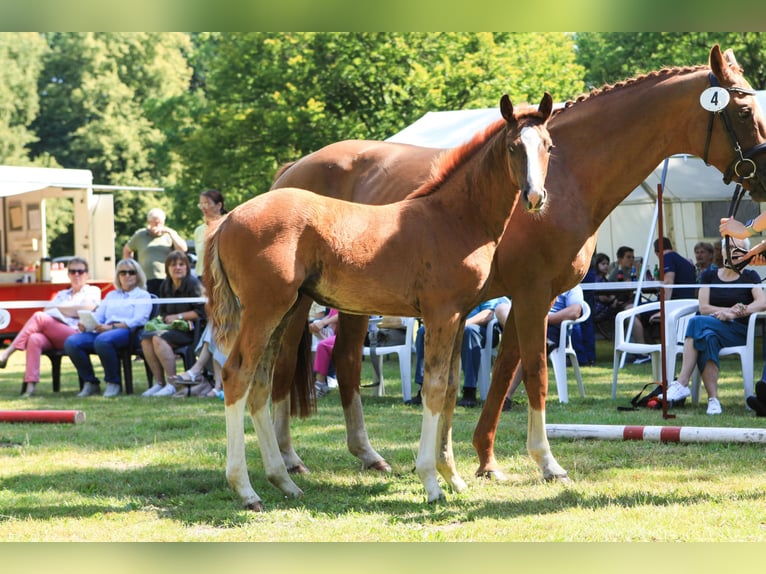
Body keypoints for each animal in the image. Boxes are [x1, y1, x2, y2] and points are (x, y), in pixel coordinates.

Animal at [207, 95, 556, 512]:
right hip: (264, 309)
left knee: (260, 383)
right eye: (513, 147)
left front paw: (453, 478)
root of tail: (227, 221)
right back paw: (246, 489)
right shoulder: (441, 314)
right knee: (236, 375)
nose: (535, 197)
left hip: (284, 310)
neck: (454, 218)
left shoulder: (457, 317)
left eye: (548, 146)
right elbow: (433, 389)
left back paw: (284, 481)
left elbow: (451, 388)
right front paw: (431, 481)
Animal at [268, 45, 766, 488]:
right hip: (299, 304)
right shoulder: (530, 294)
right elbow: (535, 375)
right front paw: (546, 463)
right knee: (282, 368)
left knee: (347, 362)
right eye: (743, 111)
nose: (761, 178)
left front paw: (484, 460)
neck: (566, 178)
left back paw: (367, 455)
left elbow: (503, 371)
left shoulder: (527, 298)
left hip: (352, 303)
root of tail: (291, 171)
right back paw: (289, 460)